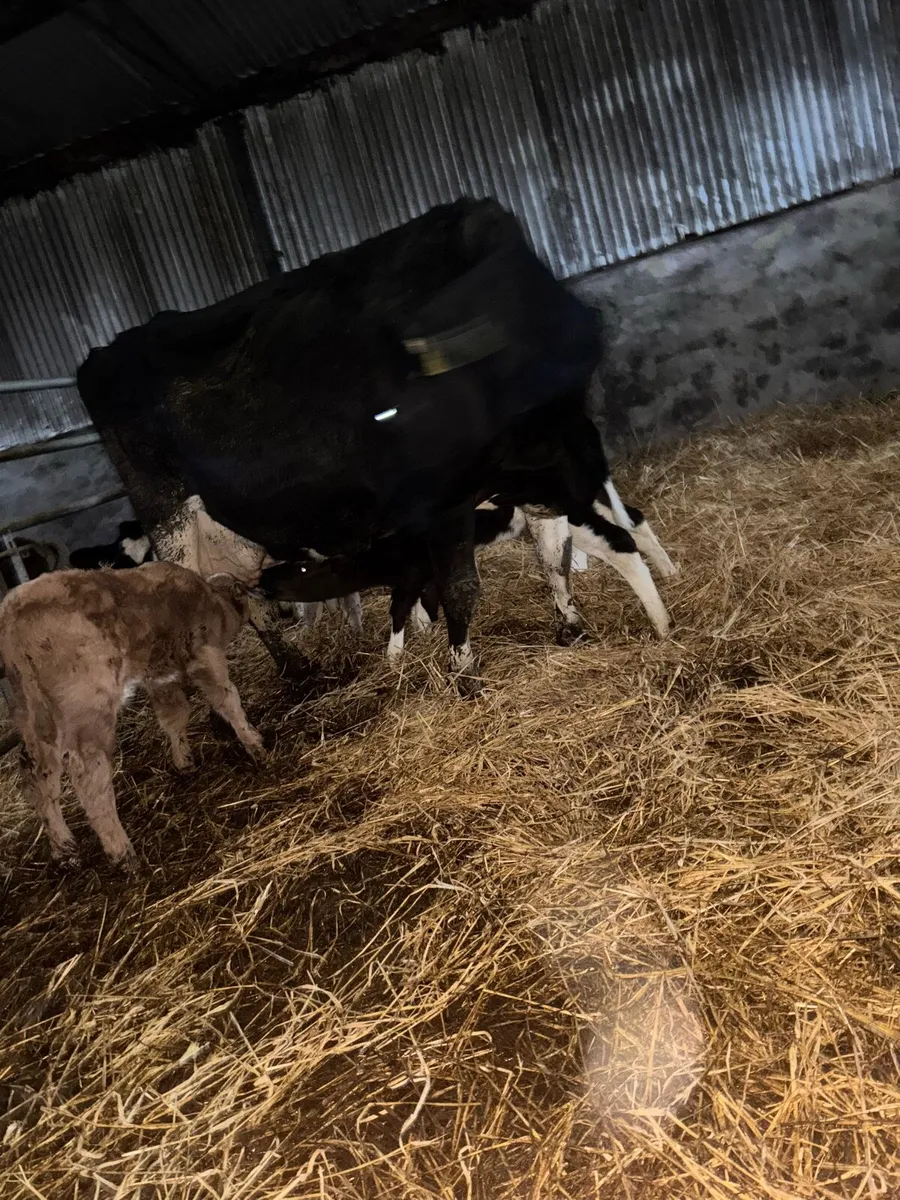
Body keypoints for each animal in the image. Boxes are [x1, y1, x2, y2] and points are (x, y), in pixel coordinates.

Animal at [0, 563, 262, 869]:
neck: (212, 600)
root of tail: (13, 609)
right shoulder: (203, 655)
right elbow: (227, 698)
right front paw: (255, 744)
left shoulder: (160, 678)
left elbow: (174, 716)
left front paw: (184, 761)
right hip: (88, 710)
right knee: (88, 776)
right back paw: (121, 851)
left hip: (34, 715)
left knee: (38, 773)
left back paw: (64, 848)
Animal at [76, 198, 671, 694]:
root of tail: (105, 352)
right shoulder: (445, 501)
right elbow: (461, 587)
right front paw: (465, 674)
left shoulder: (530, 476)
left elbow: (553, 553)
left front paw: (569, 625)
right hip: (170, 519)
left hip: (230, 530)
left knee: (242, 595)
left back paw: (298, 670)